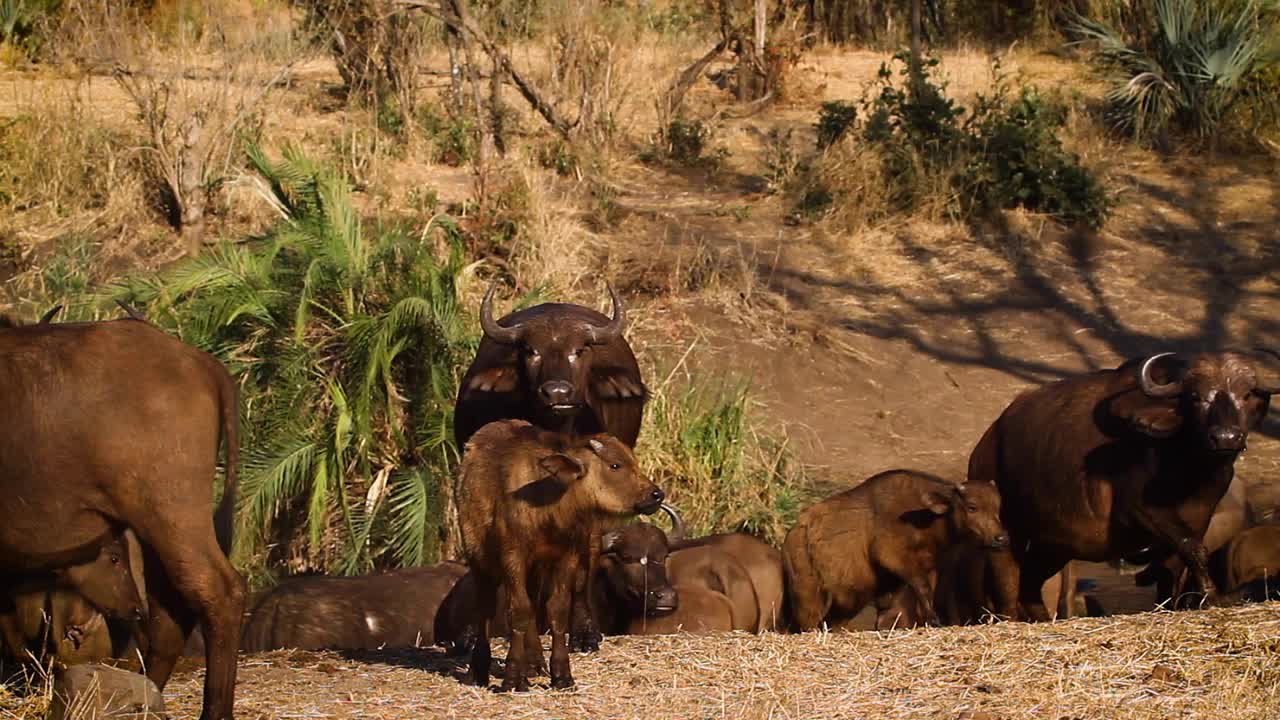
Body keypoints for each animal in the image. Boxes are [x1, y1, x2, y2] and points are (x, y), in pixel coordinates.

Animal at [0, 319, 244, 717]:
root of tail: (200, 363)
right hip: (152, 531)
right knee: (170, 615)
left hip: (171, 515)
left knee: (219, 592)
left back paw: (213, 709)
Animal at [458, 420, 660, 691]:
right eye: (615, 465)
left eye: (634, 461)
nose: (656, 495)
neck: (548, 505)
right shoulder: (513, 557)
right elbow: (518, 612)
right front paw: (512, 677)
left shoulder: (567, 556)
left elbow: (557, 611)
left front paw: (562, 674)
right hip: (478, 555)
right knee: (486, 608)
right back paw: (479, 668)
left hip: (537, 568)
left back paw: (533, 663)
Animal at [778, 466, 1008, 627]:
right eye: (972, 507)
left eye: (997, 508)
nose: (1001, 539)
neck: (925, 517)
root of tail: (792, 536)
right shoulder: (893, 557)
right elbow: (921, 588)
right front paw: (934, 620)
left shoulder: (924, 568)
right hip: (808, 598)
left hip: (846, 604)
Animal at [967, 348, 1280, 617]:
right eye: (1195, 397)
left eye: (1247, 394)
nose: (1226, 437)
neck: (1188, 466)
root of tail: (983, 447)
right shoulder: (1138, 511)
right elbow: (1194, 549)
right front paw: (1211, 595)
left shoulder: (1199, 516)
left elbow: (1177, 565)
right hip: (1006, 540)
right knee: (1010, 588)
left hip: (1053, 547)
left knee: (1030, 587)